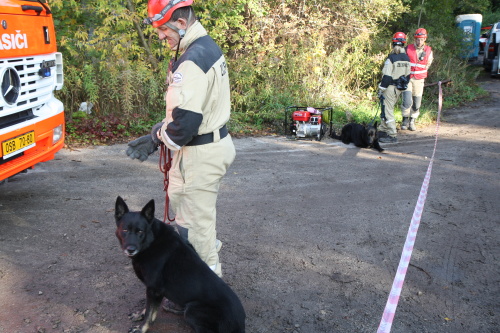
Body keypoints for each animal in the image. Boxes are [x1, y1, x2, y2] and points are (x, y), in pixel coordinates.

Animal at [114, 196, 246, 330]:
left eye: (140, 231)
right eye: (125, 230)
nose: (130, 249)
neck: (151, 241)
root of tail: (241, 324)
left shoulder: (154, 290)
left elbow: (149, 314)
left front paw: (141, 329)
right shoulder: (151, 289)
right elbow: (147, 308)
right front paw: (139, 315)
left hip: (192, 310)